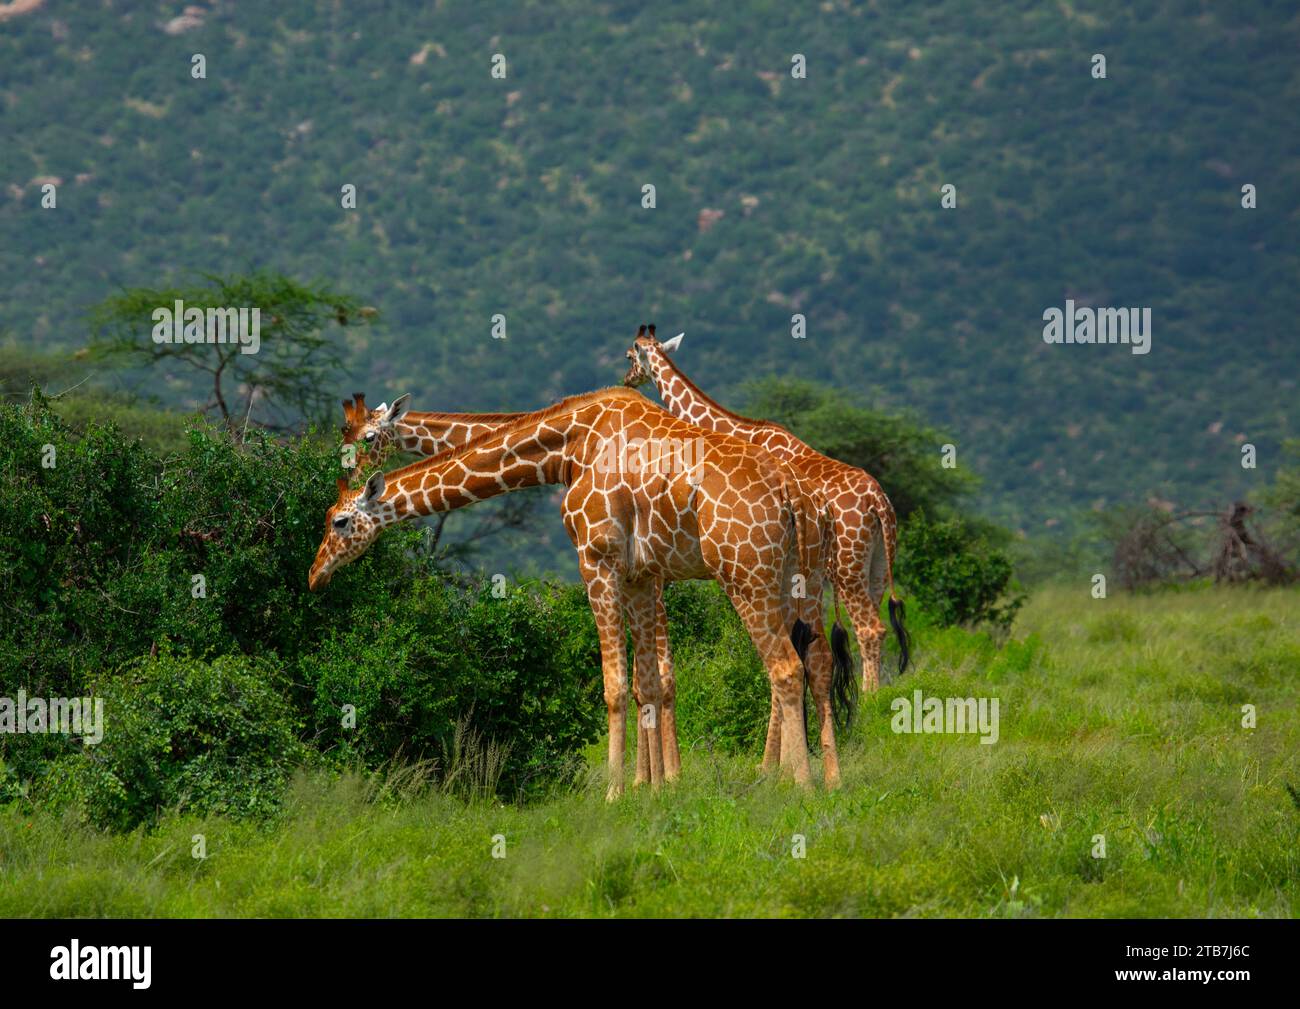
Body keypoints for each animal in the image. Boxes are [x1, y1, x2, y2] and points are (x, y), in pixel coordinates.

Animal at [310, 387, 847, 795]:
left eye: (338, 522)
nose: (315, 575)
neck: (566, 448)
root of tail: (795, 494)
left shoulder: (597, 559)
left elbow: (616, 686)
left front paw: (618, 792)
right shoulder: (640, 573)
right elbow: (651, 683)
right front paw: (655, 789)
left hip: (745, 572)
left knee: (783, 667)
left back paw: (795, 784)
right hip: (799, 577)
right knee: (817, 662)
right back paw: (832, 779)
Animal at [624, 327, 909, 691]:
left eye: (630, 356)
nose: (628, 379)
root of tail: (878, 503)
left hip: (848, 568)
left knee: (869, 629)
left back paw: (871, 694)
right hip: (877, 565)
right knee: (878, 626)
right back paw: (882, 691)